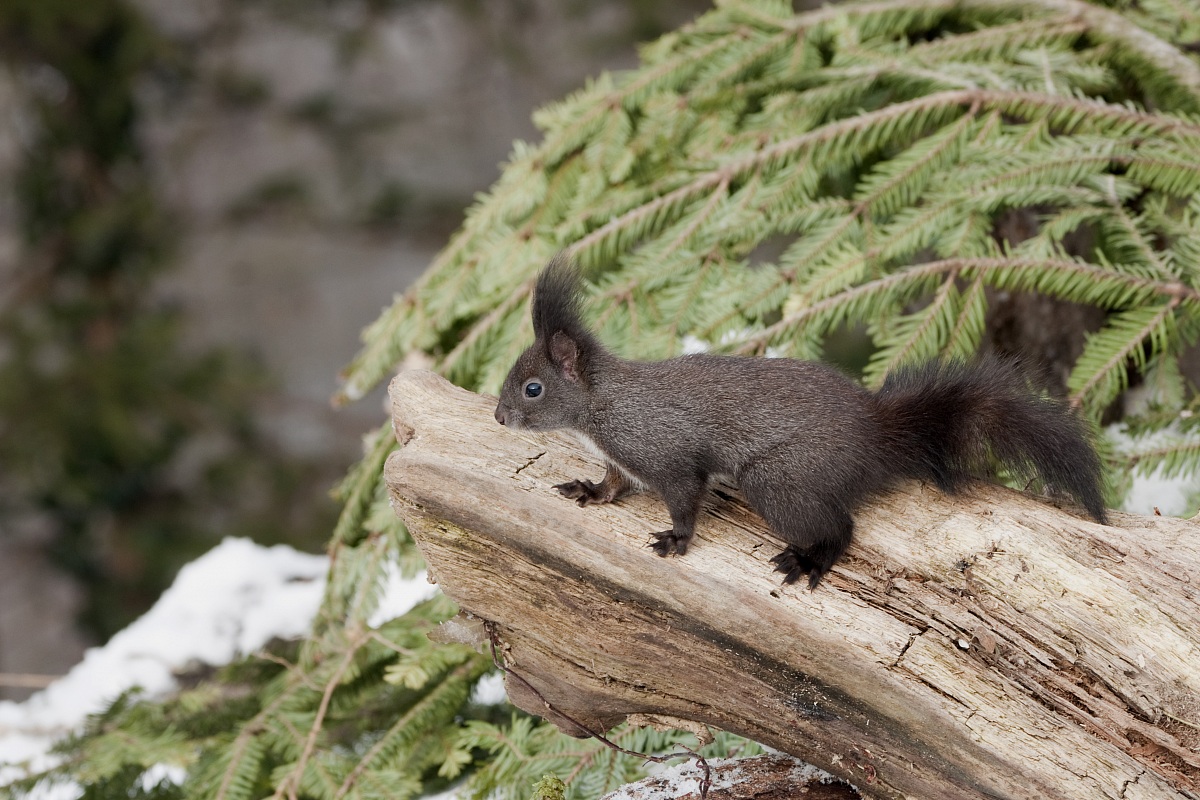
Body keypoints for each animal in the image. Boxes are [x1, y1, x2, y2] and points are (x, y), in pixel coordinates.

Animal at [493, 255, 1108, 589]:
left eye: (532, 388)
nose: (499, 417)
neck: (602, 409)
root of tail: (875, 435)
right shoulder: (623, 459)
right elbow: (614, 483)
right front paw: (588, 490)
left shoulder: (666, 453)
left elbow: (685, 497)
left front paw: (676, 540)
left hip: (779, 479)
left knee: (842, 527)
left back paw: (810, 559)